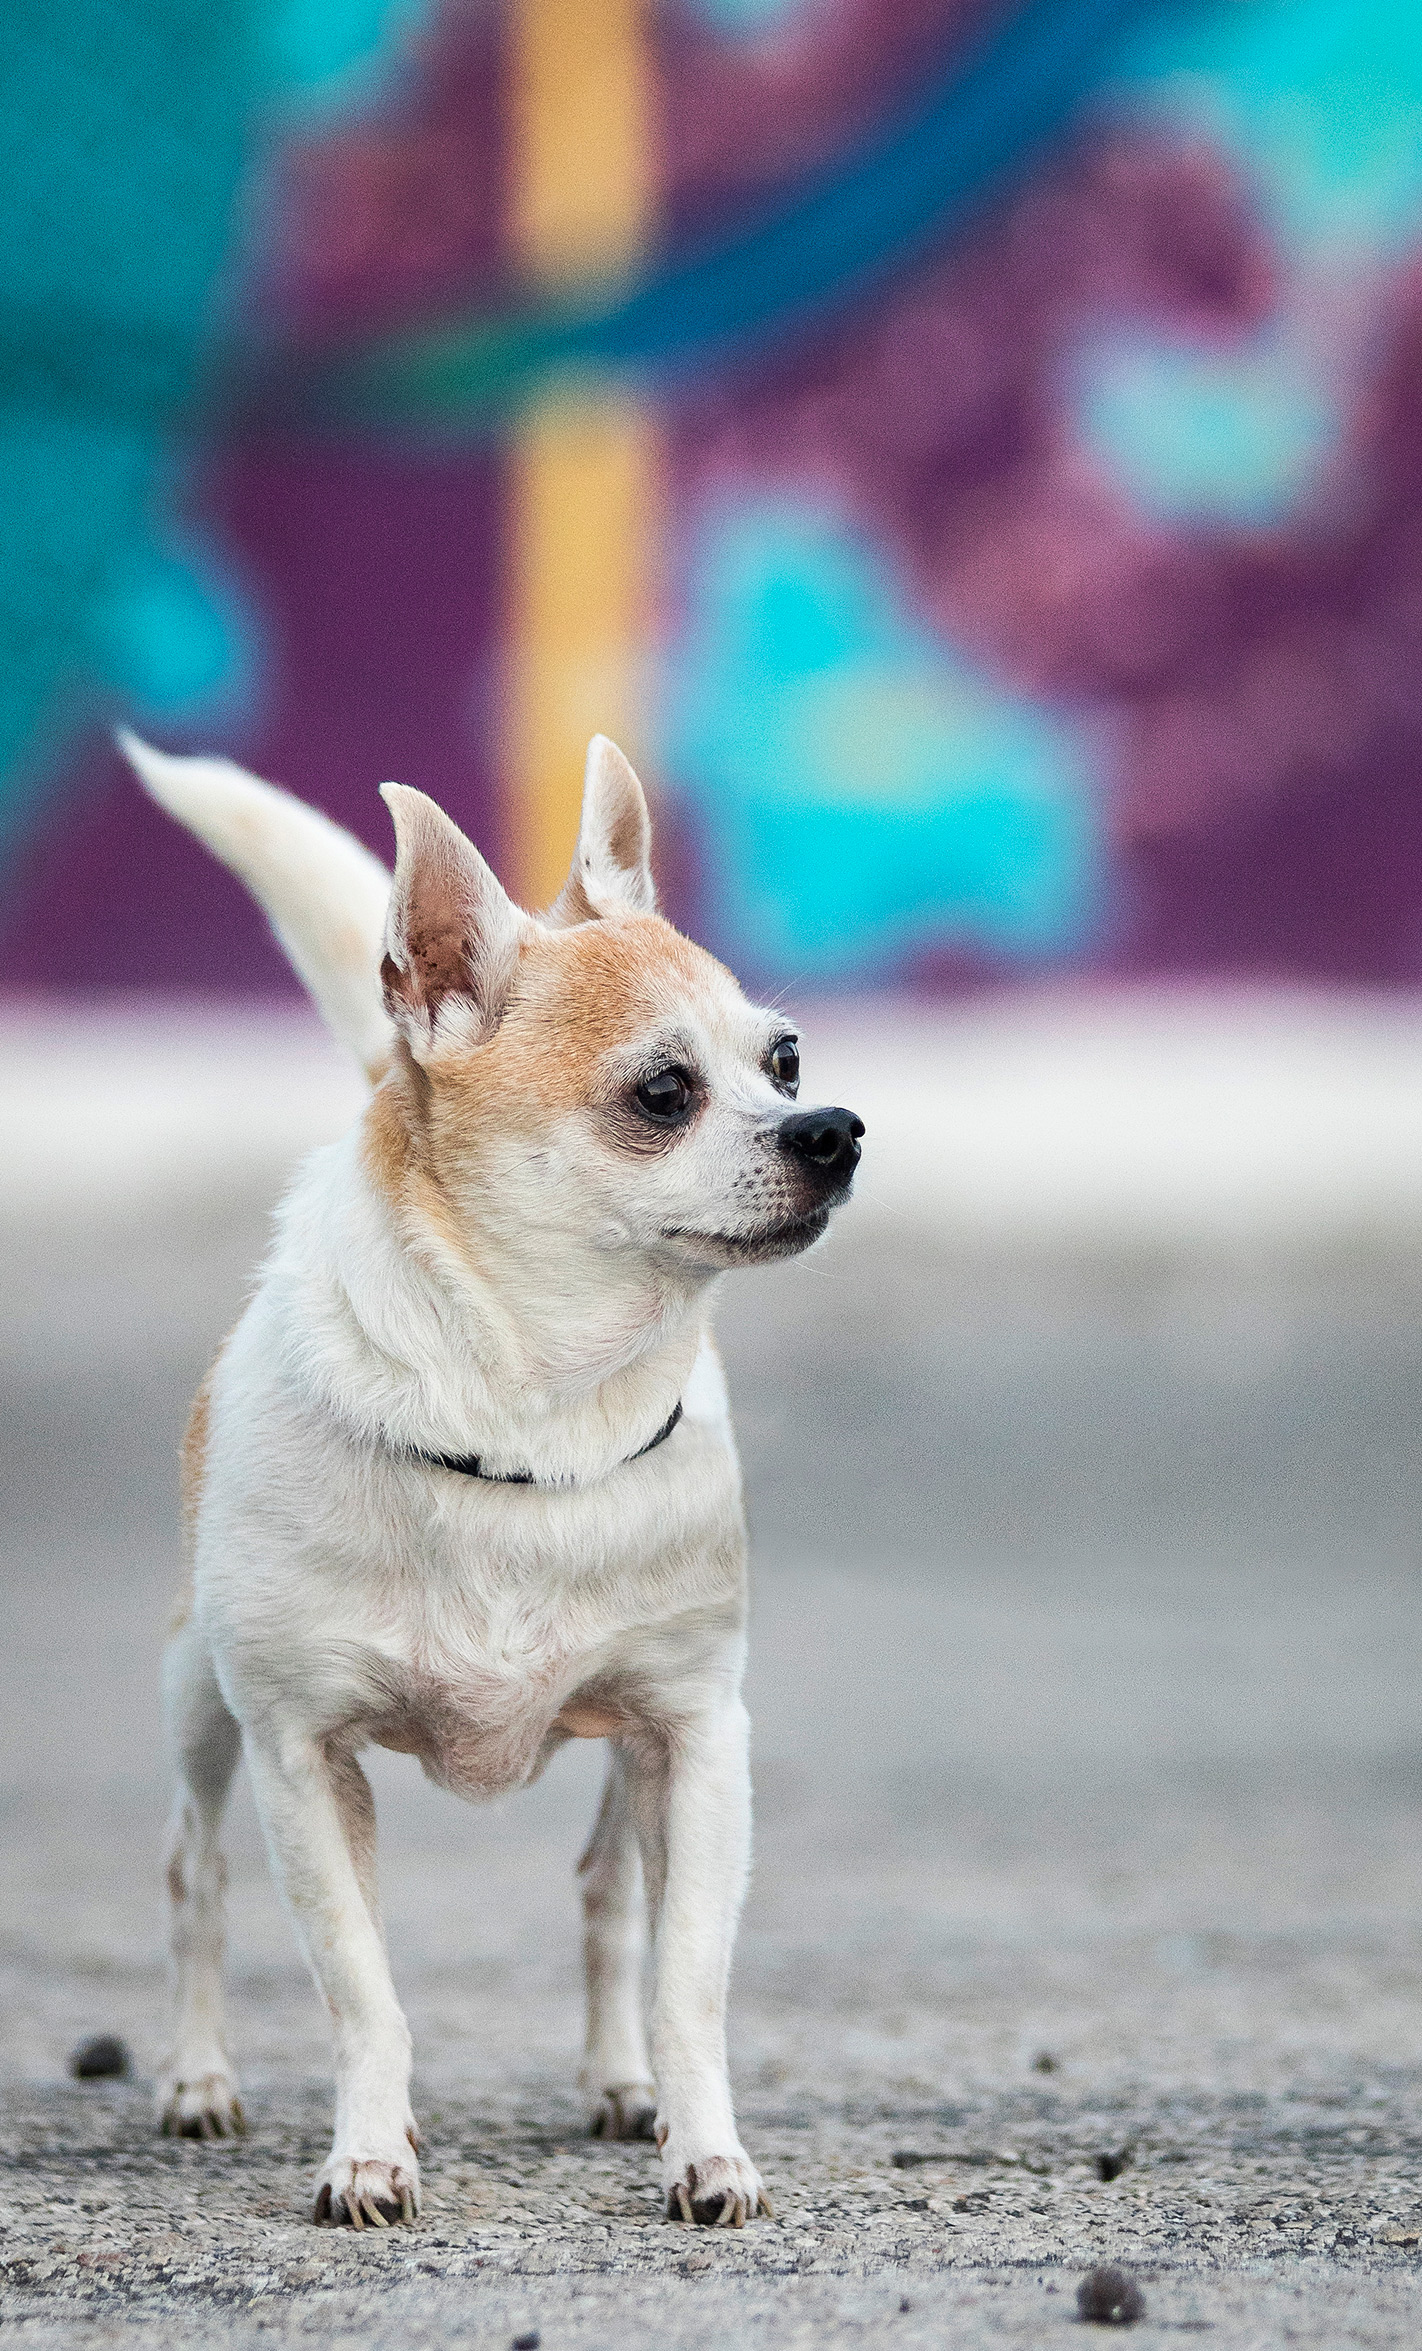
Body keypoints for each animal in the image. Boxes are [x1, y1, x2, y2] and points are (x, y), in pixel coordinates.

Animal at [116, 728, 860, 2219]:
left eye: (786, 1055)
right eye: (663, 1092)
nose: (835, 1128)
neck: (539, 1414)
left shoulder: (697, 1735)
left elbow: (688, 1978)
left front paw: (708, 2148)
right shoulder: (300, 1751)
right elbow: (364, 1988)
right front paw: (367, 2153)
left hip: (628, 1752)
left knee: (606, 1890)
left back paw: (623, 2084)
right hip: (198, 1703)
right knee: (192, 1874)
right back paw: (197, 2077)